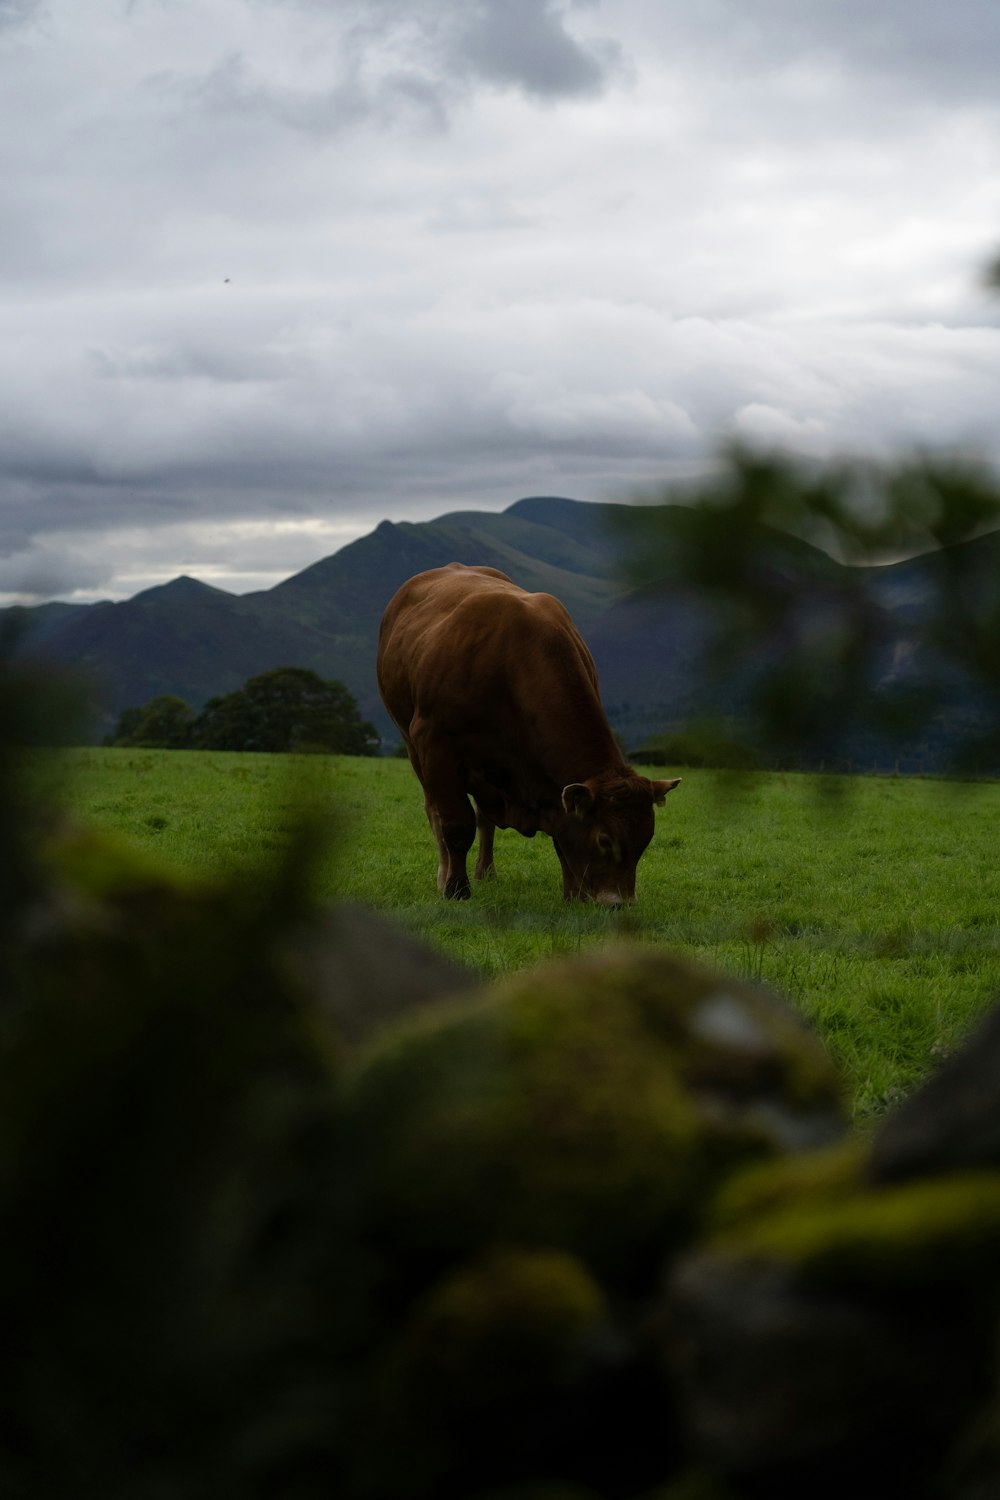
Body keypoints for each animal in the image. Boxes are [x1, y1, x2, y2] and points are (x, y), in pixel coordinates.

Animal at [377, 564, 680, 900]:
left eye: (645, 840)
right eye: (604, 839)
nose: (617, 903)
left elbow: (558, 838)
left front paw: (571, 894)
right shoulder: (435, 745)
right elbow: (455, 825)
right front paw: (457, 890)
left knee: (484, 820)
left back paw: (486, 872)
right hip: (412, 744)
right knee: (435, 812)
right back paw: (445, 876)